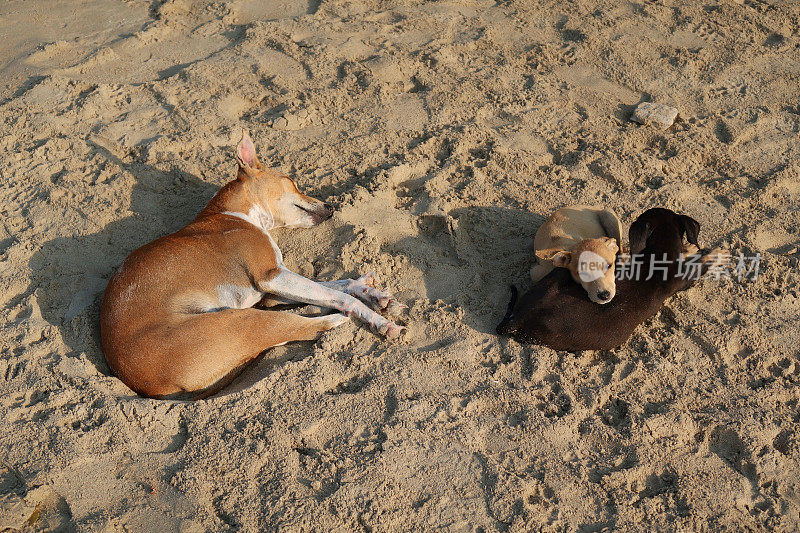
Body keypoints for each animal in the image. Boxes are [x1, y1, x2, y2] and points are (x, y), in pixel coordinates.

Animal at [496, 209, 720, 354]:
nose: (604, 295)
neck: (658, 253)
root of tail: (517, 320)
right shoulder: (684, 277)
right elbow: (703, 263)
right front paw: (717, 252)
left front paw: (691, 248)